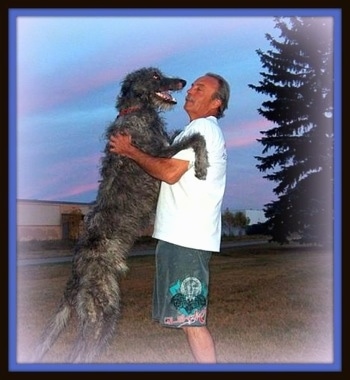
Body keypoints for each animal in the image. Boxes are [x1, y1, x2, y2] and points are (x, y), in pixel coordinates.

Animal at [32, 67, 208, 362]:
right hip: (102, 309)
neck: (136, 110)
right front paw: (203, 165)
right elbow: (195, 137)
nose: (182, 81)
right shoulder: (159, 154)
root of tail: (74, 276)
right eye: (156, 77)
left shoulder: (162, 147)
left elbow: (185, 135)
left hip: (106, 312)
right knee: (78, 353)